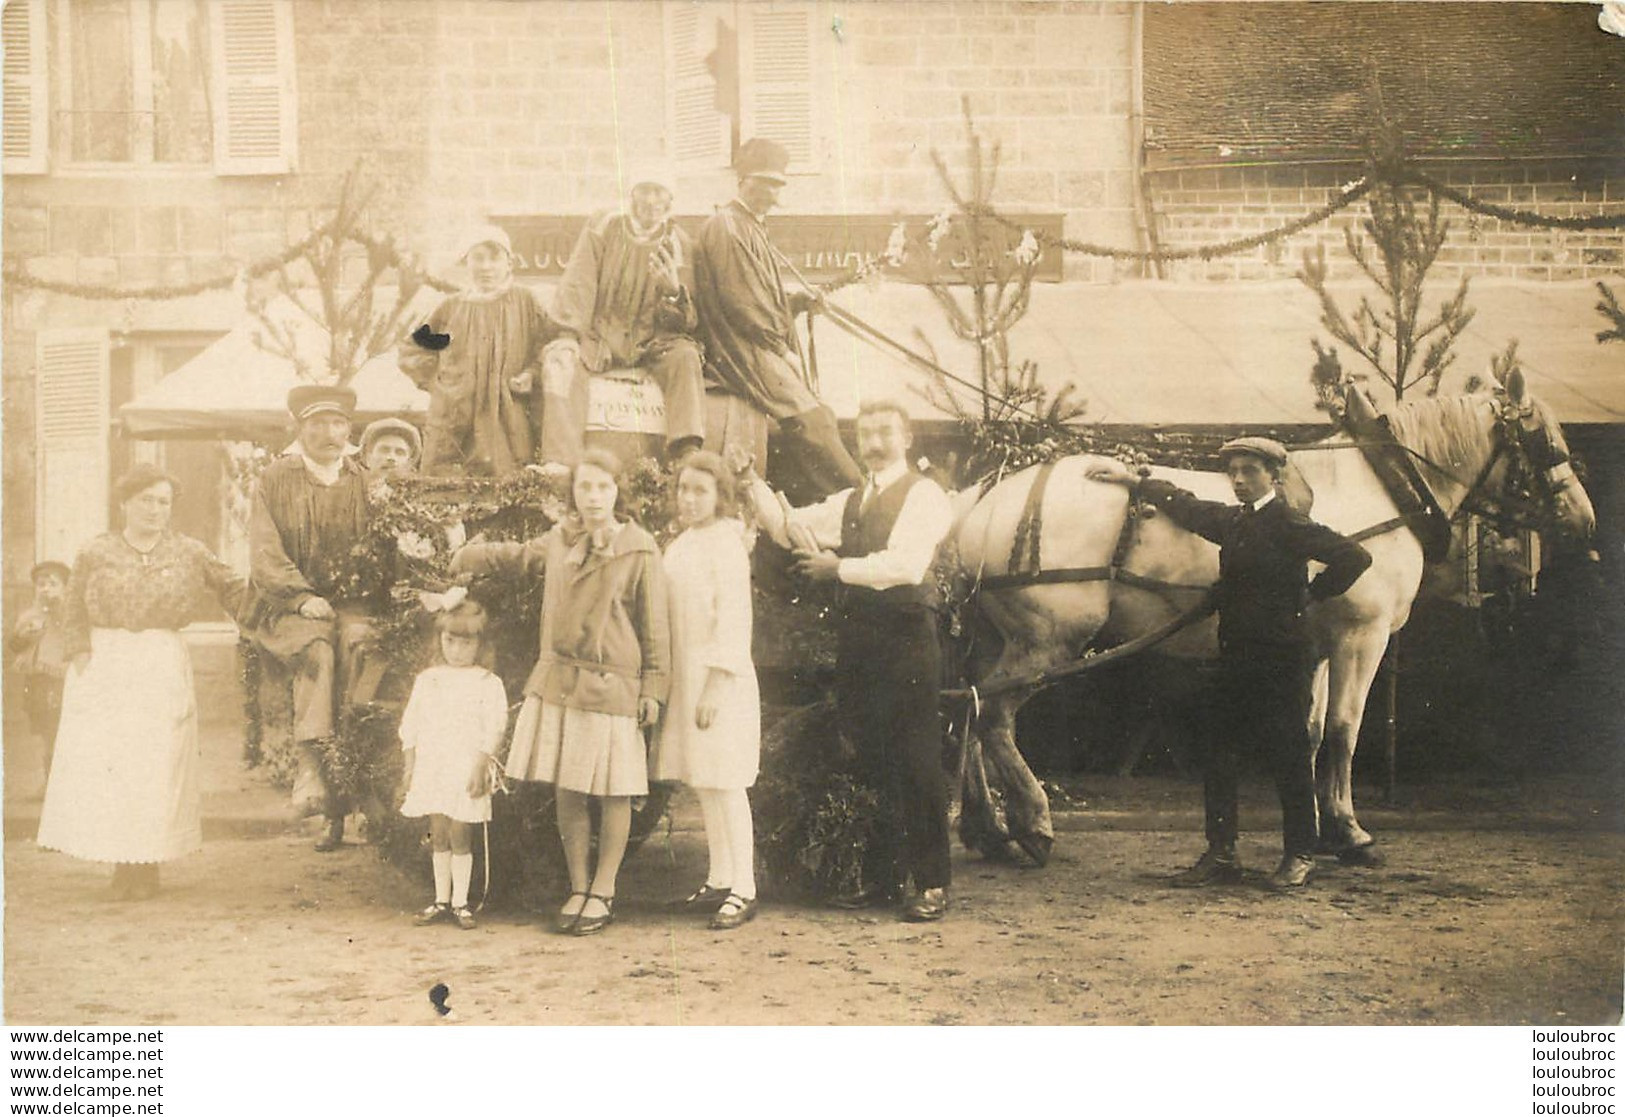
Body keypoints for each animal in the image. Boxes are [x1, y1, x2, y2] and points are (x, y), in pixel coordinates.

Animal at [949, 375, 1599, 864]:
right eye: (1543, 440)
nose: (1584, 518)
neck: (1382, 491)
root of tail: (983, 504)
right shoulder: (1360, 638)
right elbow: (1343, 729)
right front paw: (1349, 830)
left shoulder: (1316, 646)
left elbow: (1307, 733)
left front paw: (1313, 826)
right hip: (1049, 641)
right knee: (997, 718)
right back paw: (1032, 822)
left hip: (999, 641)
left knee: (973, 709)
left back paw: (989, 830)